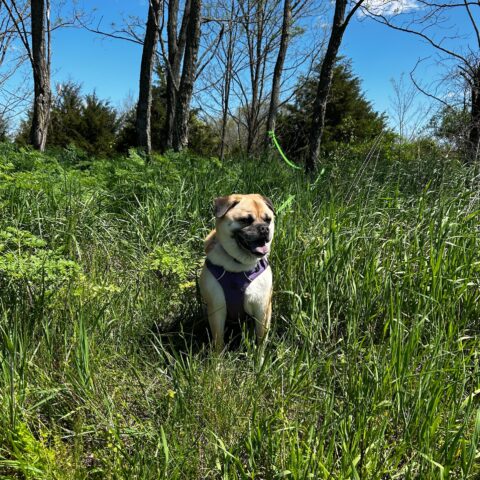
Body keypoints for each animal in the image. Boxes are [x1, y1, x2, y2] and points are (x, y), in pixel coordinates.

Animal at [198, 192, 274, 352]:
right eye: (245, 220)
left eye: (268, 220)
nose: (264, 228)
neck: (239, 264)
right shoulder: (217, 309)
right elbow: (218, 340)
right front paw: (217, 358)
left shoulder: (262, 309)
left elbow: (261, 339)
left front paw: (260, 357)